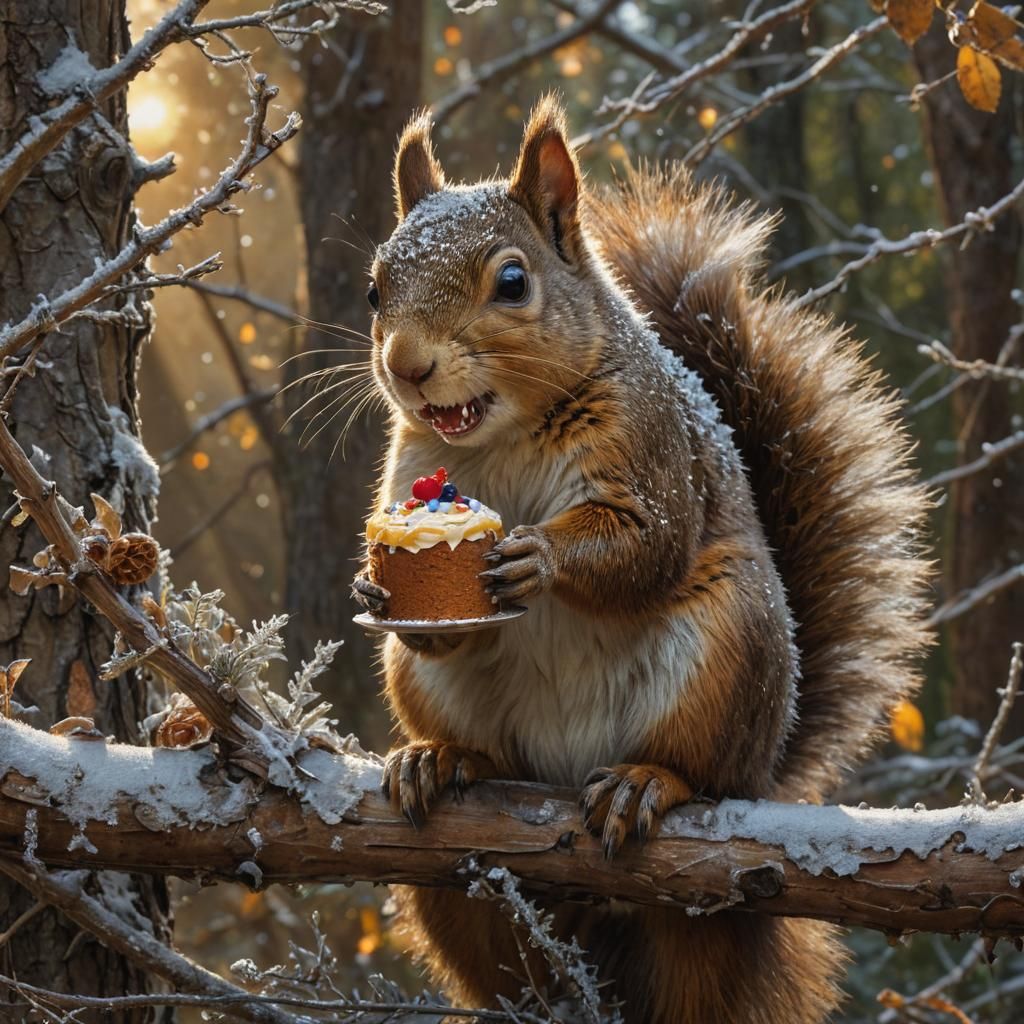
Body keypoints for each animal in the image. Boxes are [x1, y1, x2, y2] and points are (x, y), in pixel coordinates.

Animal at [352, 96, 931, 1023]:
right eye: (374, 289)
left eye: (512, 283)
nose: (406, 365)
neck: (504, 434)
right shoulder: (410, 467)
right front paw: (376, 589)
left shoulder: (651, 452)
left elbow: (647, 544)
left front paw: (540, 554)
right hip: (438, 711)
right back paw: (446, 761)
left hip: (727, 651)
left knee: (703, 768)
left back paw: (646, 783)